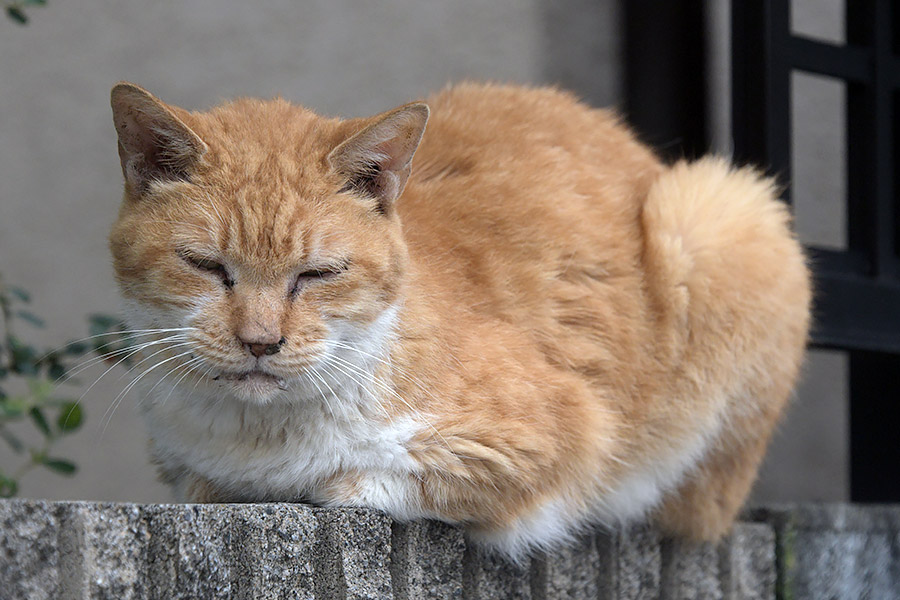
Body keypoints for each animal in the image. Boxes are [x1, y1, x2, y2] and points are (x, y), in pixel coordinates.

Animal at [109, 81, 812, 556]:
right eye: (206, 266)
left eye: (317, 274)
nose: (261, 342)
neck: (254, 438)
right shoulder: (181, 467)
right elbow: (201, 483)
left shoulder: (566, 434)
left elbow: (362, 479)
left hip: (719, 215)